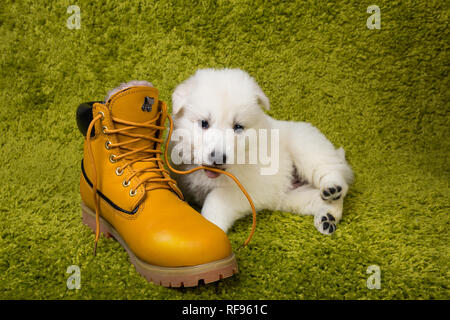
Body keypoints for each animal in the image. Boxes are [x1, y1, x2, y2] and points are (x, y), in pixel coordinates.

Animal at [169, 69, 356, 235]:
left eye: (238, 127)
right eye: (204, 123)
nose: (218, 158)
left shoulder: (243, 190)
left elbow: (215, 199)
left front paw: (211, 228)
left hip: (307, 148)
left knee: (334, 174)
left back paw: (332, 188)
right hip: (292, 198)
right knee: (323, 199)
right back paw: (327, 217)